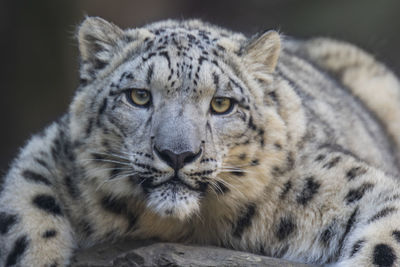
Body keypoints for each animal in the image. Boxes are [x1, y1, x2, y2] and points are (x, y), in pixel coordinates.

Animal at [0, 17, 400, 267]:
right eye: (139, 97)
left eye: (222, 104)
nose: (177, 154)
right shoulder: (46, 154)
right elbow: (23, 215)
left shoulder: (343, 183)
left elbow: (385, 241)